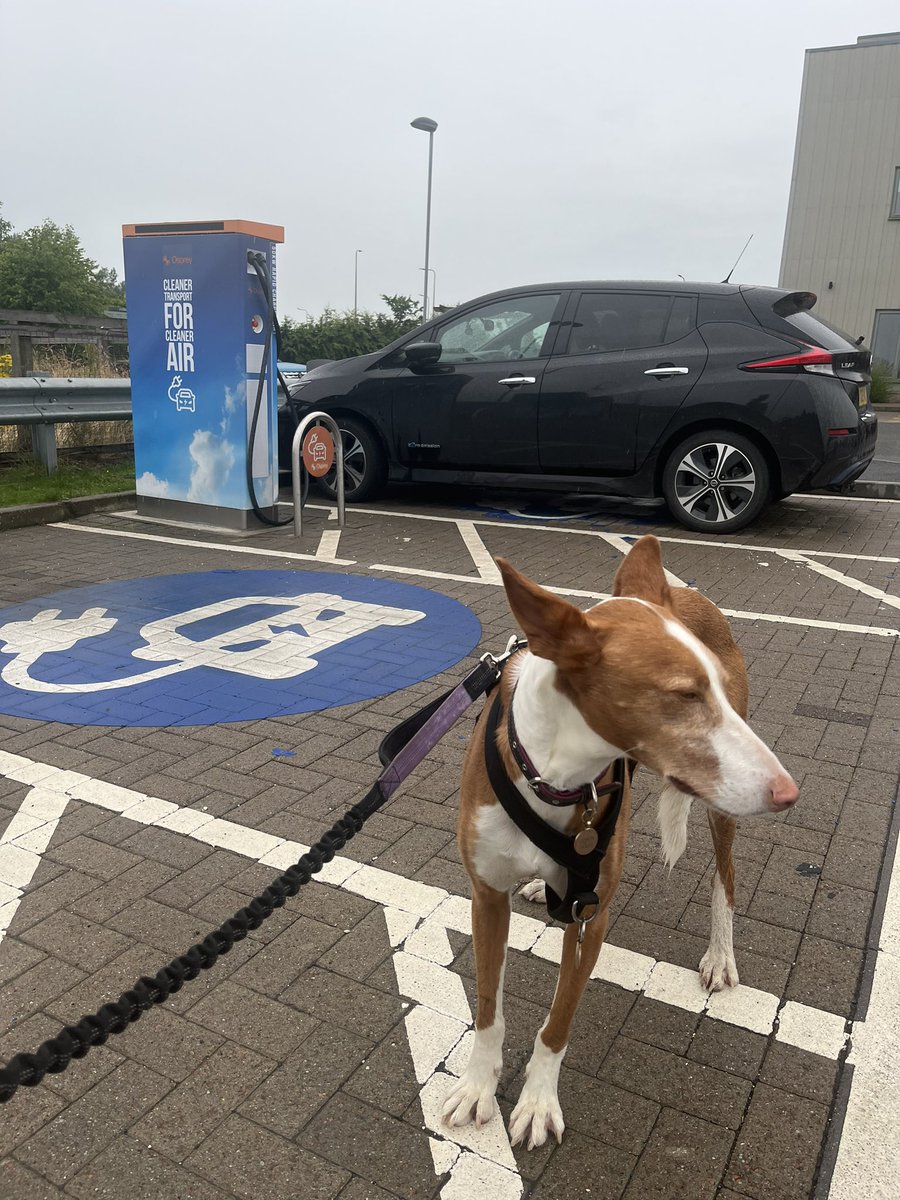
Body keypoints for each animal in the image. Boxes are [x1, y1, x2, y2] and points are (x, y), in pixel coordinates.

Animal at [444, 540, 796, 1147]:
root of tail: (682, 589)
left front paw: (538, 1101)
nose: (788, 792)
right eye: (684, 695)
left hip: (721, 809)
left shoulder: (592, 912)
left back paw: (721, 955)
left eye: (713, 691)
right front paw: (476, 1086)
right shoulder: (486, 895)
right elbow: (488, 1009)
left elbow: (558, 1022)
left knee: (725, 877)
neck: (557, 775)